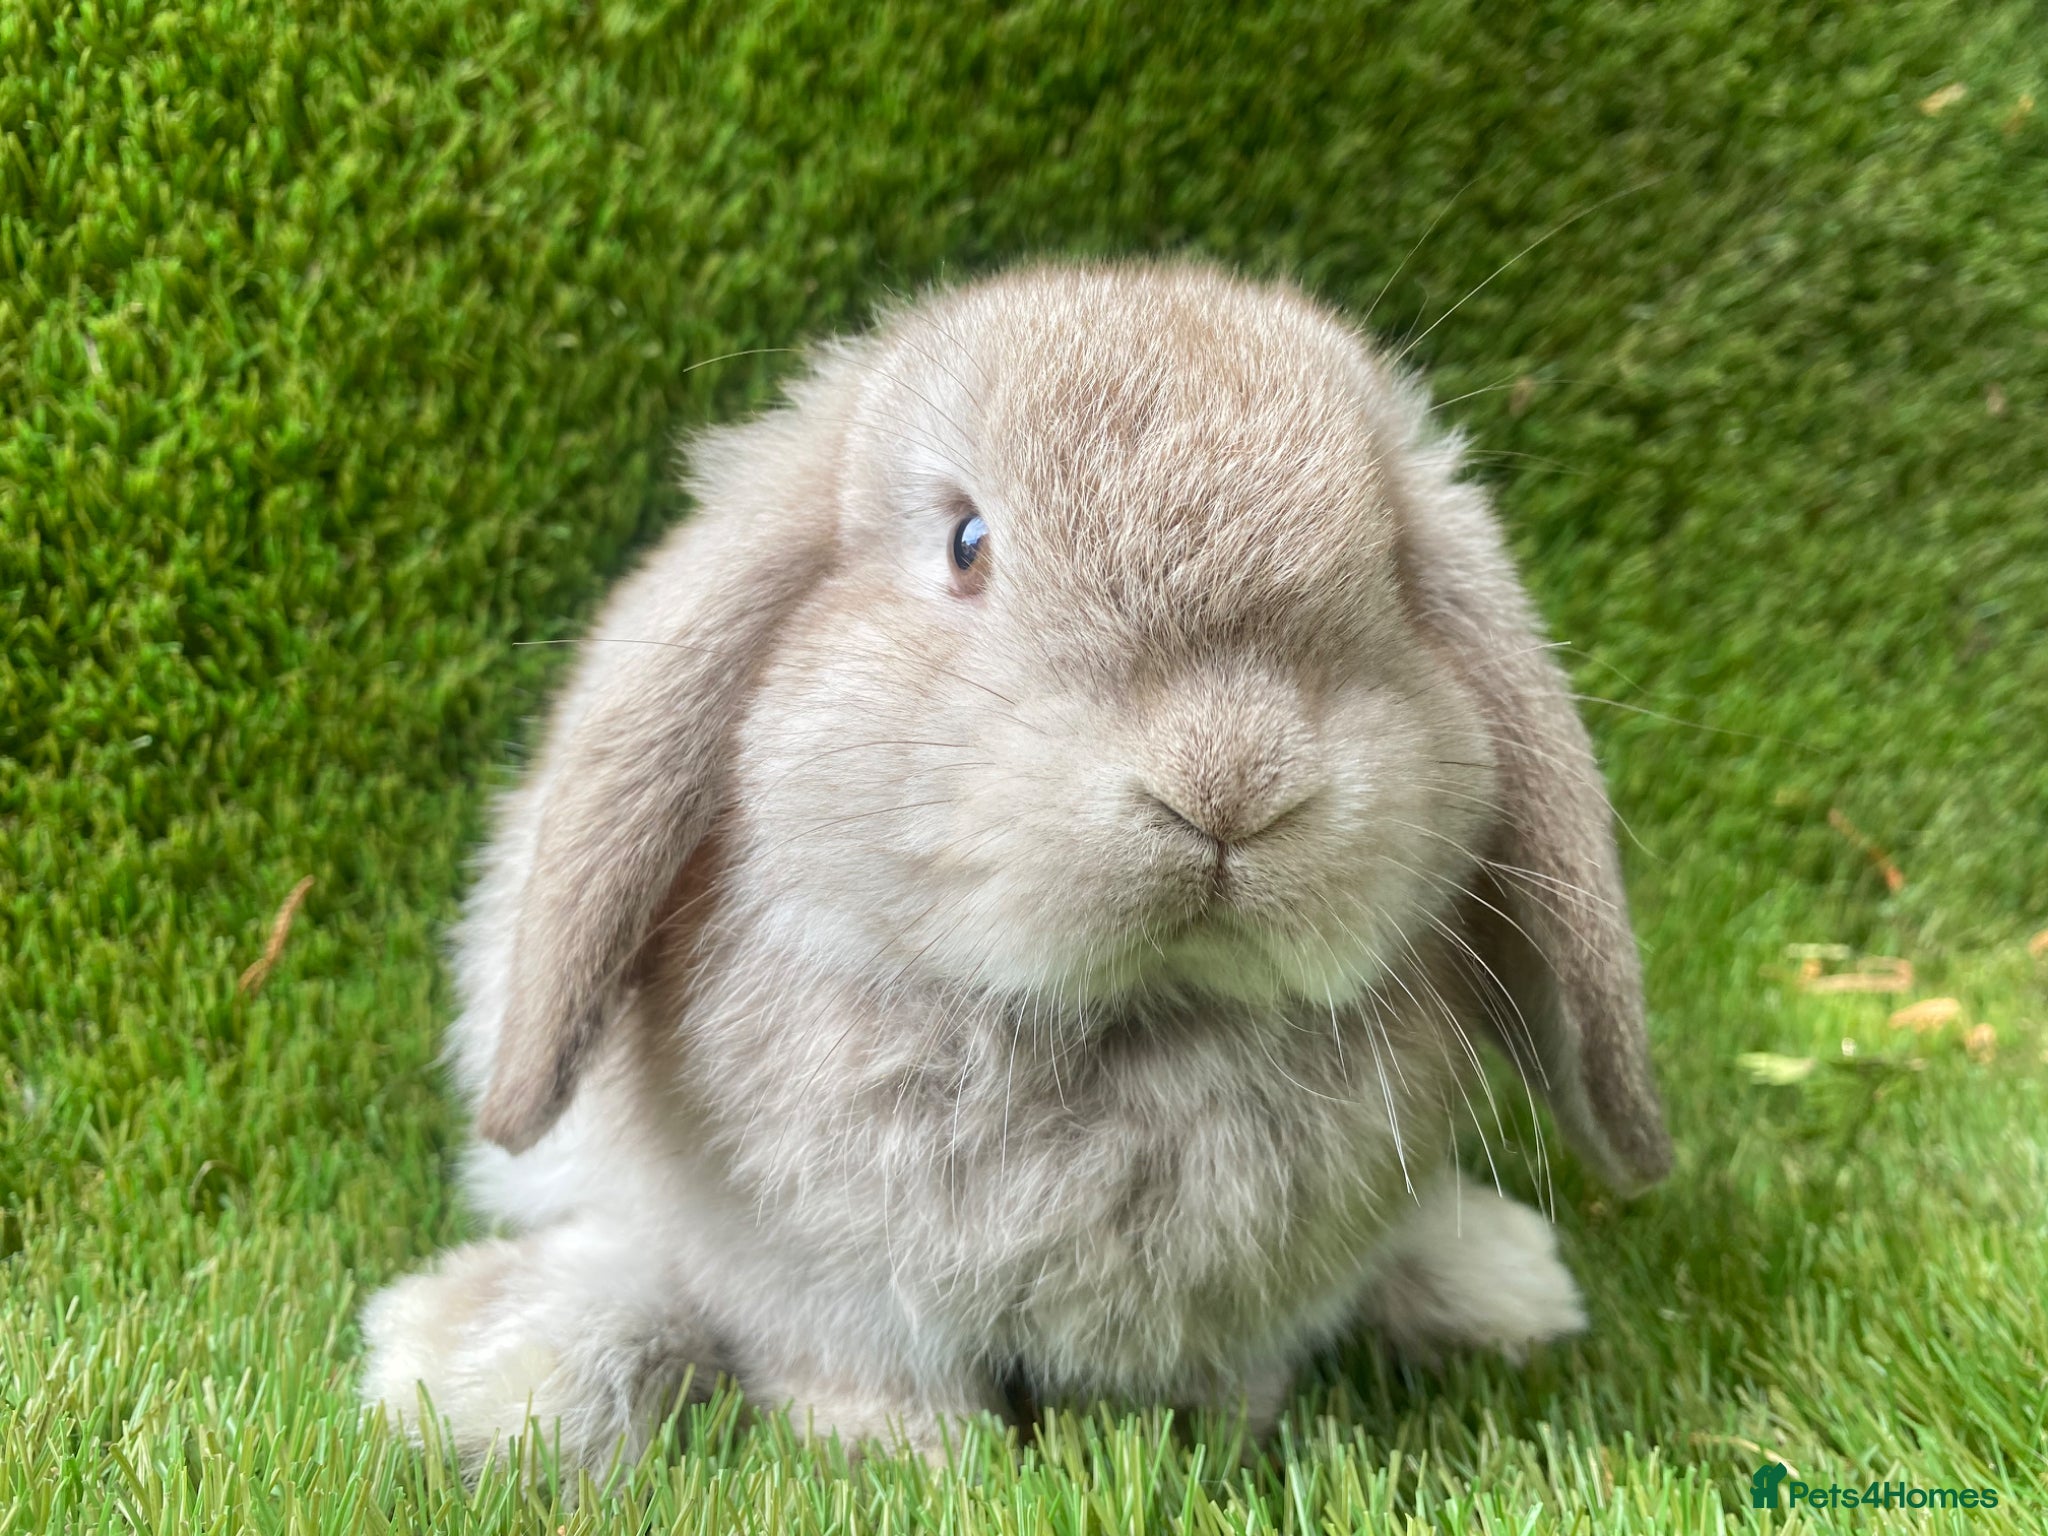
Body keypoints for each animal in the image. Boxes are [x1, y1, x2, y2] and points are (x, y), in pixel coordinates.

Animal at [359, 260, 1671, 1473]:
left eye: (1394, 569)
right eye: (966, 543)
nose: (1229, 781)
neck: (1131, 1025)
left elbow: (1230, 1380)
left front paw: (1210, 1439)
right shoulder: (827, 1293)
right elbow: (856, 1380)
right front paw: (906, 1457)